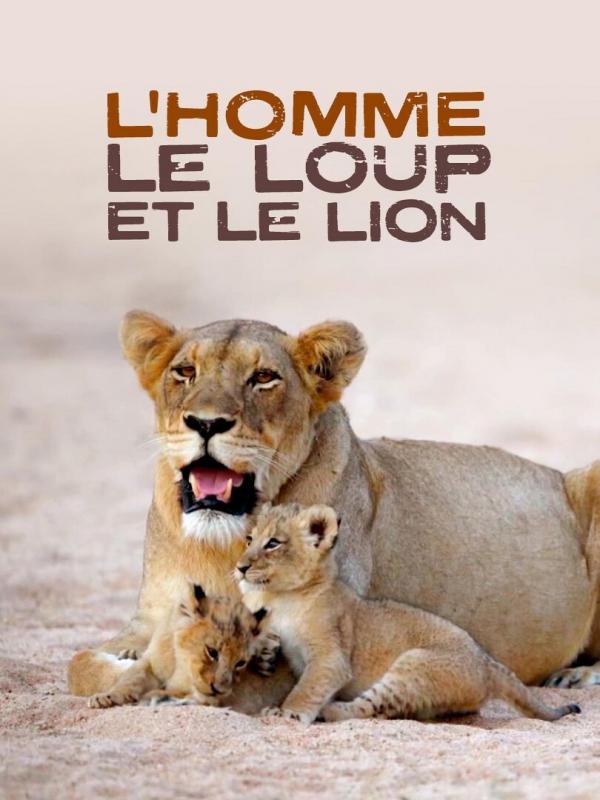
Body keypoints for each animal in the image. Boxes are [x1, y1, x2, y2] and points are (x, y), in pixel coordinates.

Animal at [236, 502, 581, 724]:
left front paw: (287, 713)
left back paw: (331, 710)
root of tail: (487, 663)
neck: (284, 597)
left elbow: (307, 687)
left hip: (415, 666)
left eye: (273, 543)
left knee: (374, 707)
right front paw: (265, 652)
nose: (240, 567)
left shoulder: (331, 657)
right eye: (250, 539)